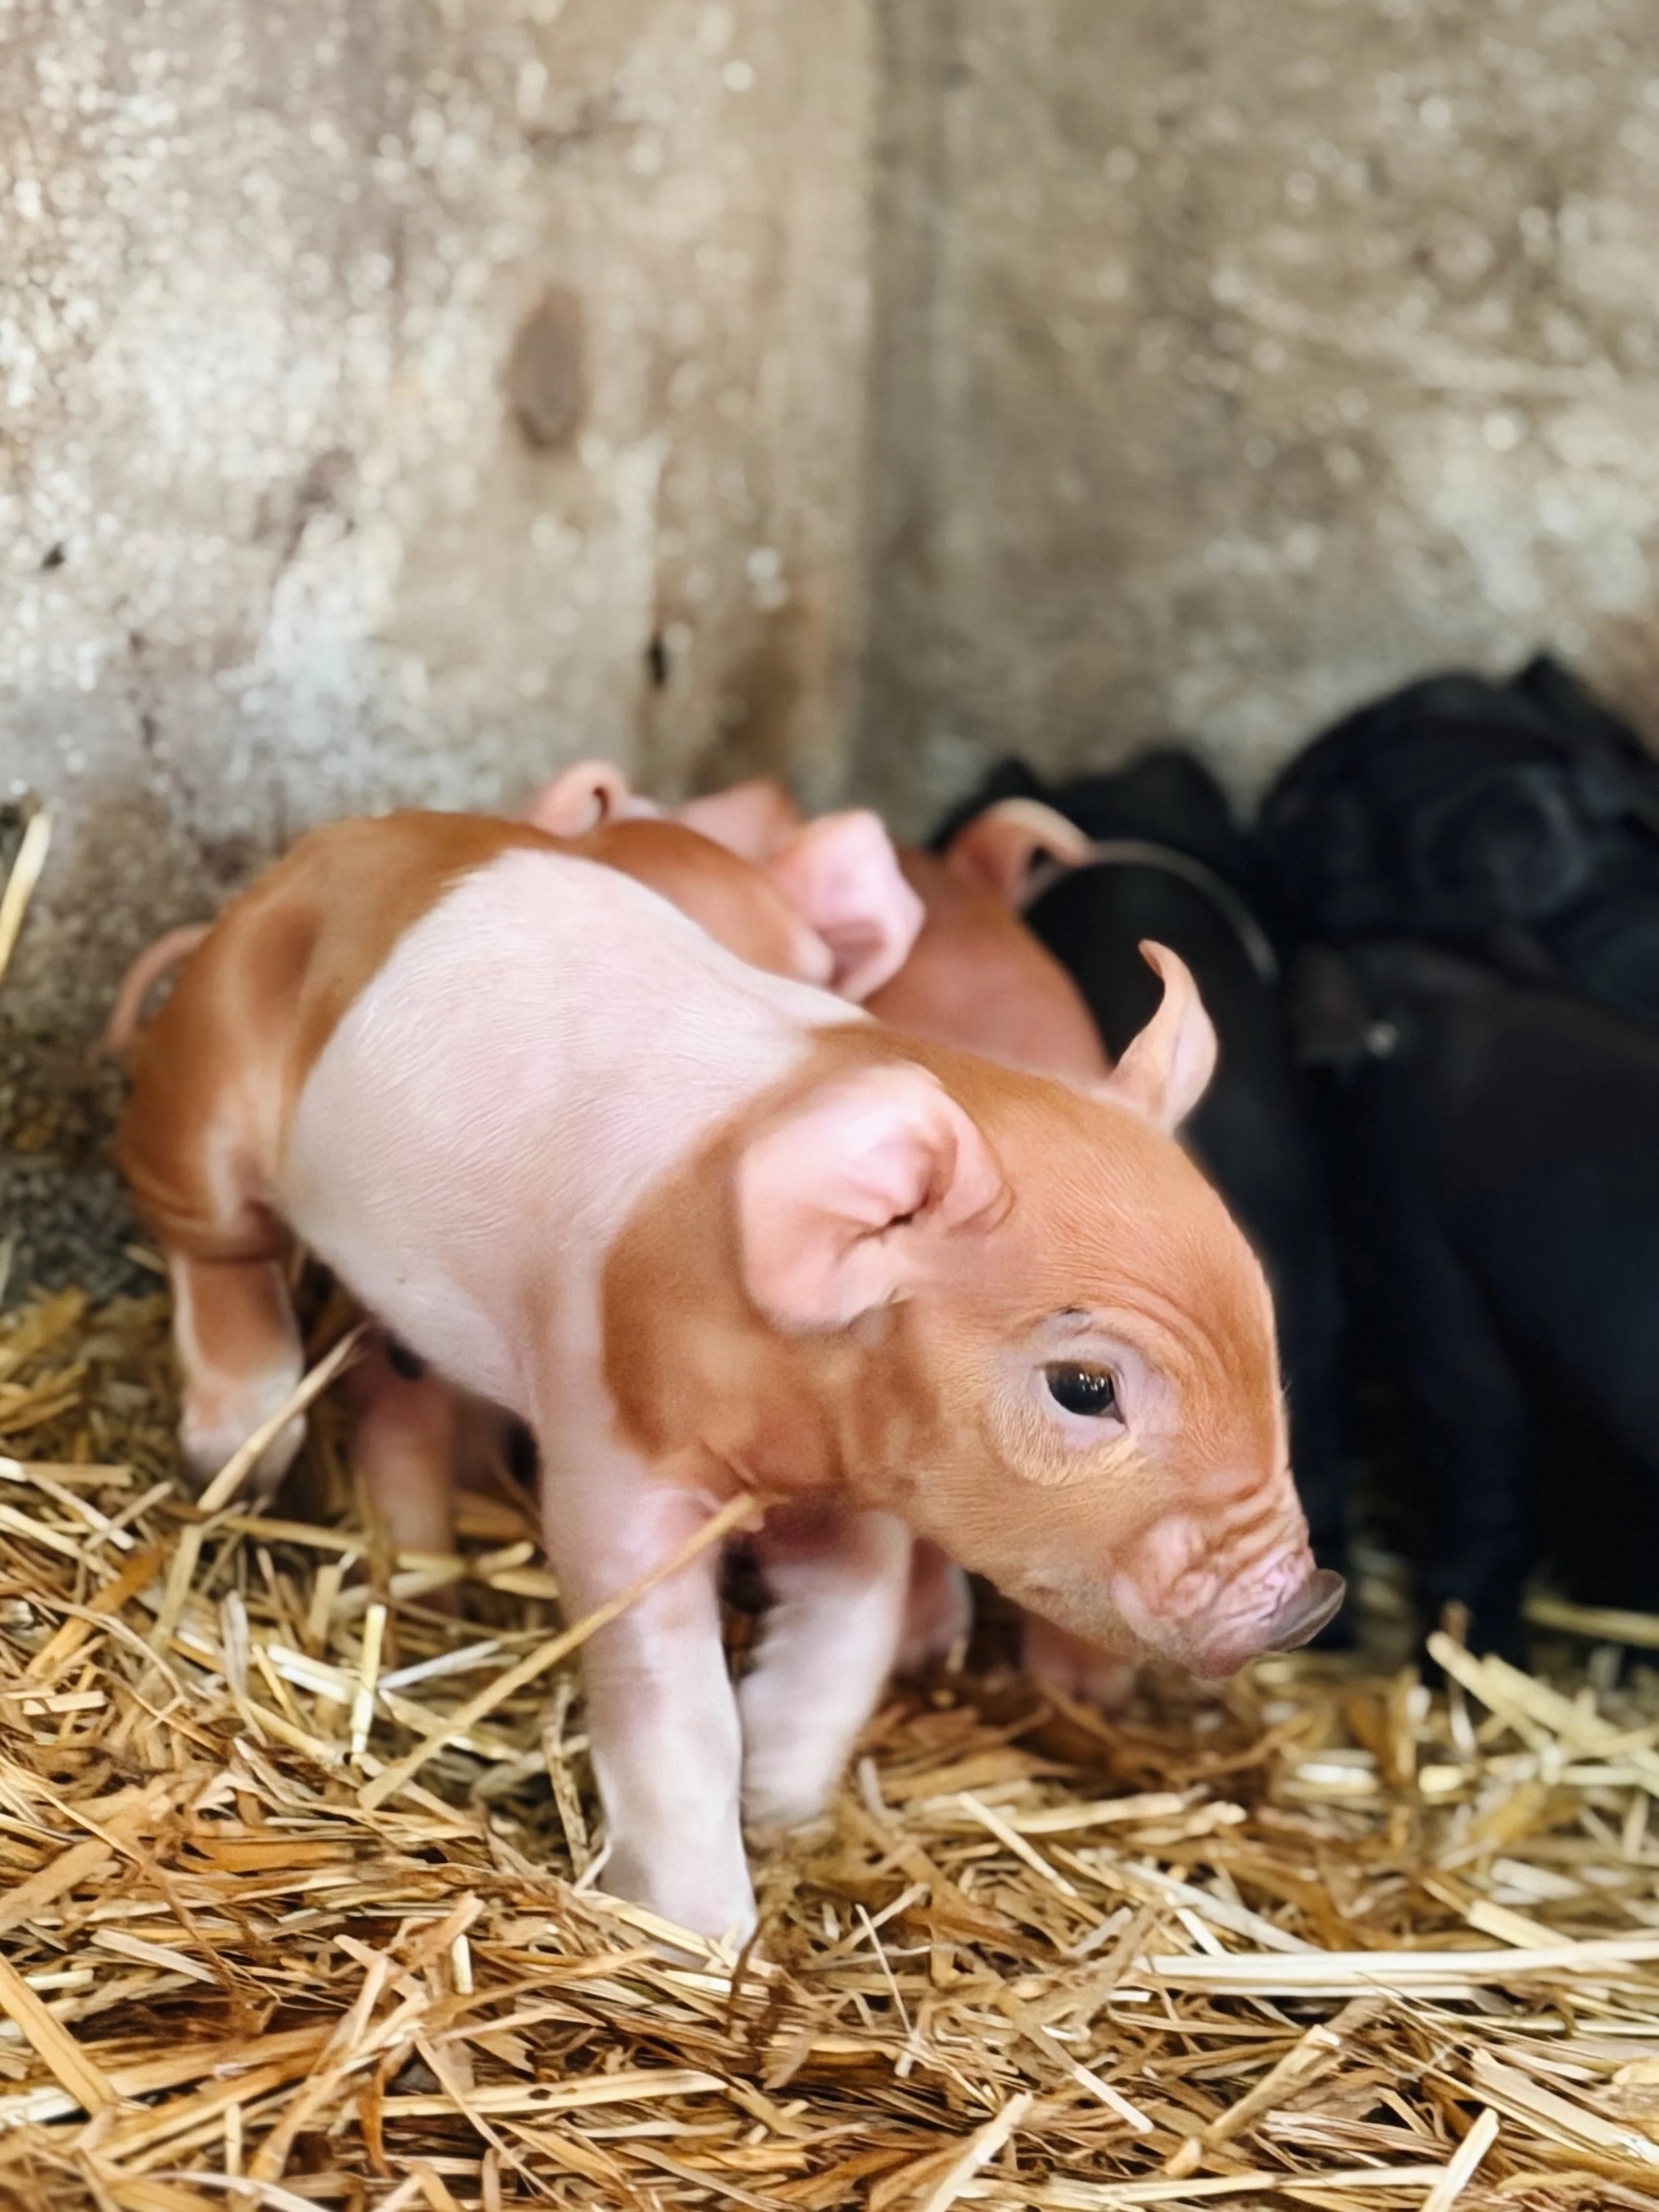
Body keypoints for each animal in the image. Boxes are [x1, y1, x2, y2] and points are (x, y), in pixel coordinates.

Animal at [115, 806, 1339, 1936]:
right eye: (1084, 1387)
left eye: (1265, 1326)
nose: (1308, 1600)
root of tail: (300, 865)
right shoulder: (609, 1447)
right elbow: (669, 1693)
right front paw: (704, 1933)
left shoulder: (855, 1475)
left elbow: (856, 1617)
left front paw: (783, 1799)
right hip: (202, 1106)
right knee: (214, 1249)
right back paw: (239, 1452)